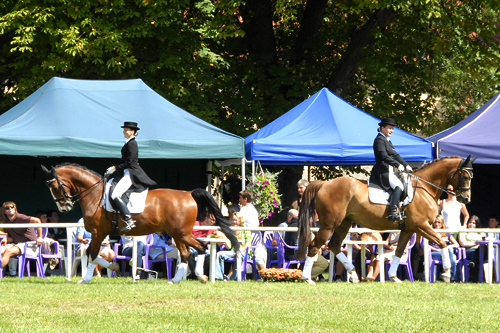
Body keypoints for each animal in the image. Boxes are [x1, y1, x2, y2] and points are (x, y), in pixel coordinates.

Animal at [41, 163, 238, 282]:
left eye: (55, 186)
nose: (64, 208)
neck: (95, 194)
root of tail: (189, 194)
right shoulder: (100, 234)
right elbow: (93, 253)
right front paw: (112, 267)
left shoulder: (98, 232)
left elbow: (92, 253)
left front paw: (85, 279)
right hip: (177, 234)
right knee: (186, 253)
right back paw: (175, 280)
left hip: (181, 233)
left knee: (200, 248)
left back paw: (201, 277)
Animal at [298, 156, 474, 282]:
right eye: (465, 176)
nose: (466, 199)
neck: (424, 189)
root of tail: (324, 184)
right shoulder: (421, 226)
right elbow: (442, 242)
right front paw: (446, 272)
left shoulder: (409, 230)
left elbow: (399, 251)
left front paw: (394, 277)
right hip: (328, 225)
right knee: (314, 246)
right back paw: (307, 278)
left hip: (344, 223)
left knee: (334, 245)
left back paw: (353, 275)